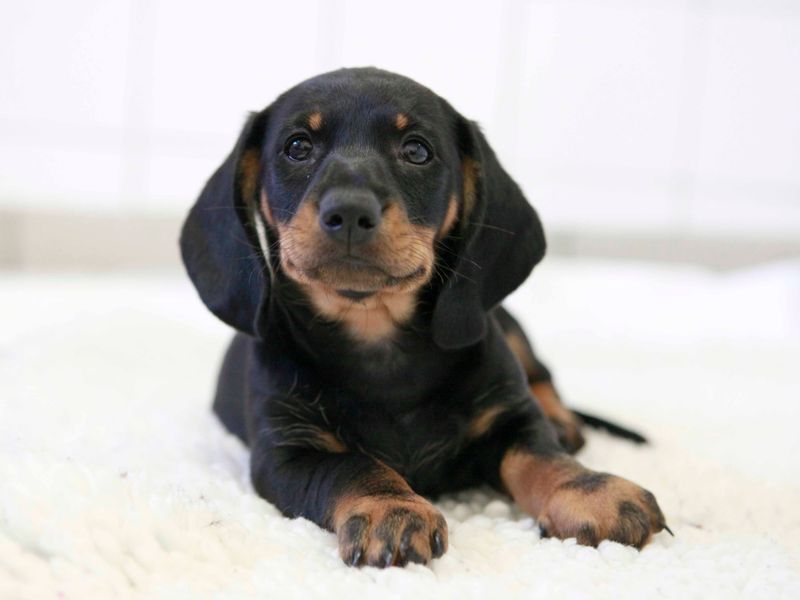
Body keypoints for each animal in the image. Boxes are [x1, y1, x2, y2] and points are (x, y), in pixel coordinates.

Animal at [183, 67, 668, 568]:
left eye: (416, 150)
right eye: (297, 146)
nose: (350, 212)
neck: (378, 340)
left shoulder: (510, 417)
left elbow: (539, 452)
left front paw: (589, 490)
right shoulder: (286, 453)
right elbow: (352, 465)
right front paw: (391, 508)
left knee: (543, 378)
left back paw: (563, 422)